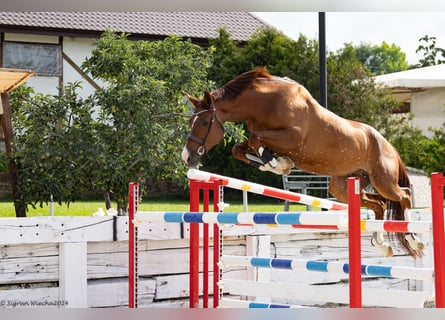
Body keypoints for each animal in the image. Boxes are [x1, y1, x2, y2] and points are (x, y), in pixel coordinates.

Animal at [181, 68, 424, 258]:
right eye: (192, 121)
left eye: (204, 122)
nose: (187, 157)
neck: (265, 104)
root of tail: (388, 144)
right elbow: (241, 148)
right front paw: (274, 162)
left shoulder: (292, 138)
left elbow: (255, 139)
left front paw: (278, 163)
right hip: (343, 186)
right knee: (379, 205)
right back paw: (382, 245)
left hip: (382, 180)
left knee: (403, 196)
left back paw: (413, 238)